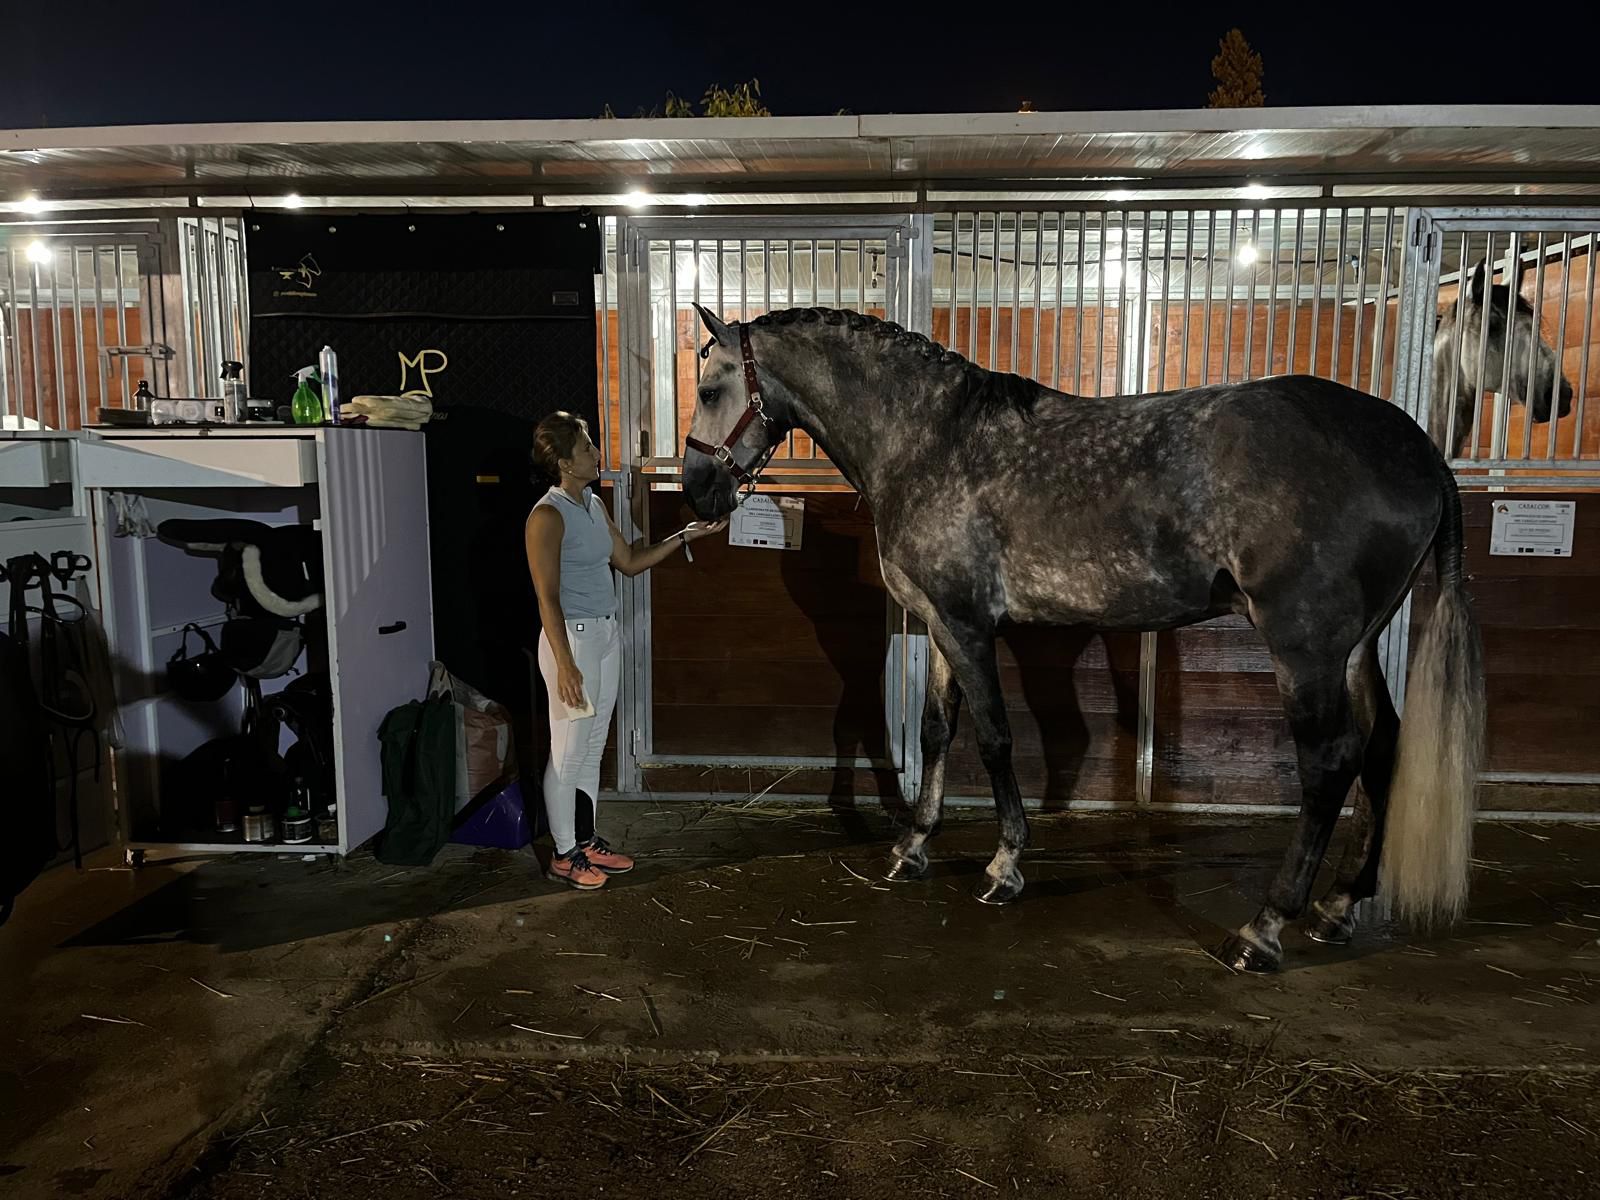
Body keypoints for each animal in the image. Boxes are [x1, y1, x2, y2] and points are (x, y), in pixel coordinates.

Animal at [681, 302, 1478, 979]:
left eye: (711, 385)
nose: (695, 490)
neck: (929, 441)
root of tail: (1415, 447)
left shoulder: (966, 624)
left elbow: (994, 738)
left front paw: (1004, 867)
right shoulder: (938, 623)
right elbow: (938, 730)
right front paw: (912, 849)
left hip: (1305, 649)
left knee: (1329, 763)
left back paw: (1263, 930)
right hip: (1356, 648)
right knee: (1381, 747)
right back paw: (1338, 907)